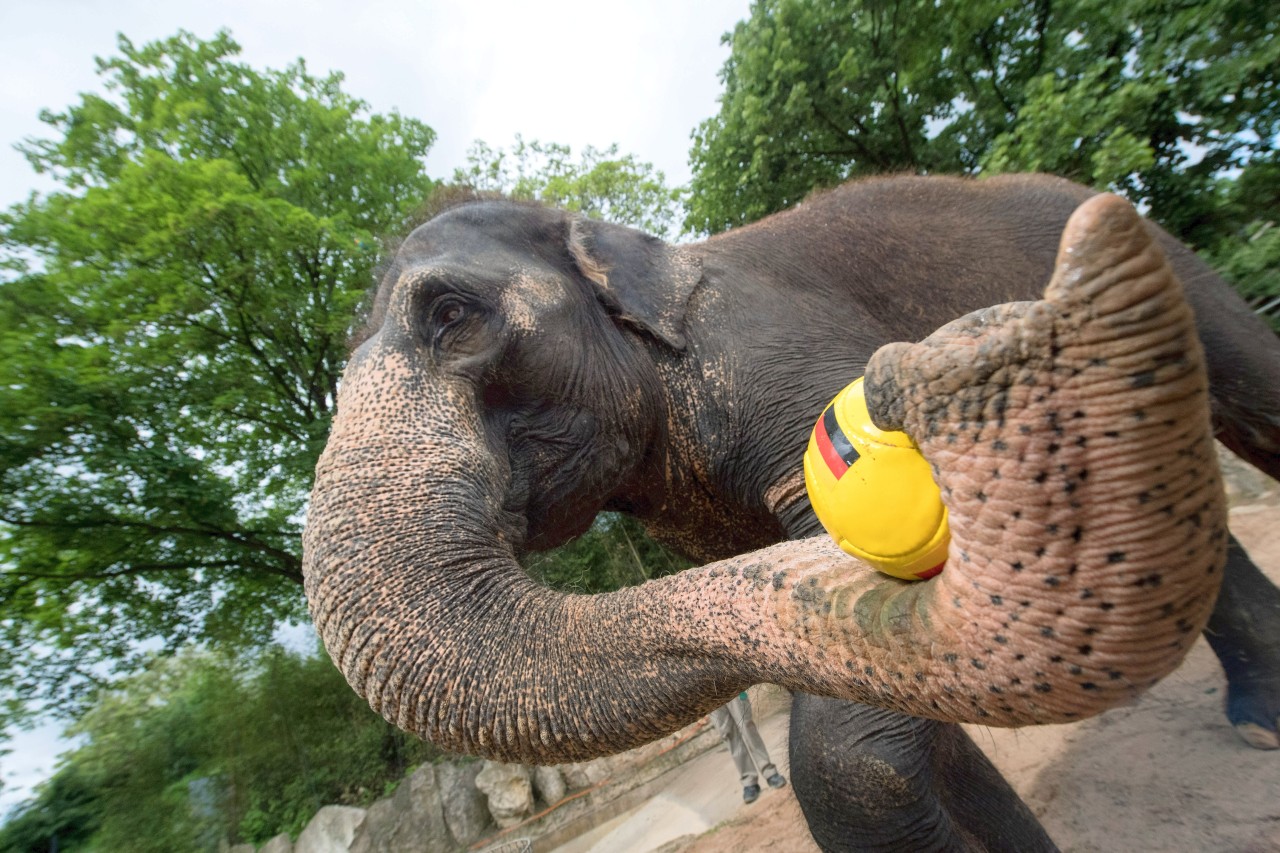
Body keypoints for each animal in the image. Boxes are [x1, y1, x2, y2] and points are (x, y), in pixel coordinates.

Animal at [302, 175, 1280, 845]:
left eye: (450, 312)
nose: (941, 357)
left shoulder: (772, 352)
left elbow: (862, 721)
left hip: (1180, 269)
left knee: (1259, 402)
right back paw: (1259, 720)